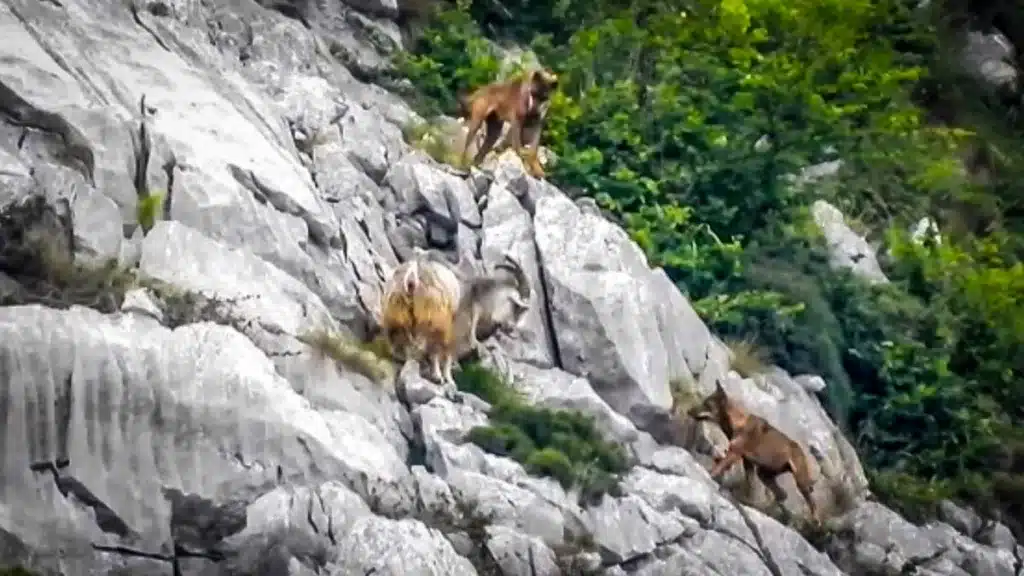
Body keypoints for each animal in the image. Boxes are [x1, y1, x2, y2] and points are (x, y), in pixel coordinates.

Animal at [688, 381, 823, 520]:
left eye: (707, 404)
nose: (689, 411)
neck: (737, 422)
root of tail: (802, 452)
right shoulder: (747, 462)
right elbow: (750, 485)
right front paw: (746, 500)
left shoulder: (734, 453)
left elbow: (719, 467)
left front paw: (710, 474)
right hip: (764, 474)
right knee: (782, 494)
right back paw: (769, 510)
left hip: (800, 481)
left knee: (811, 503)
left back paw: (814, 520)